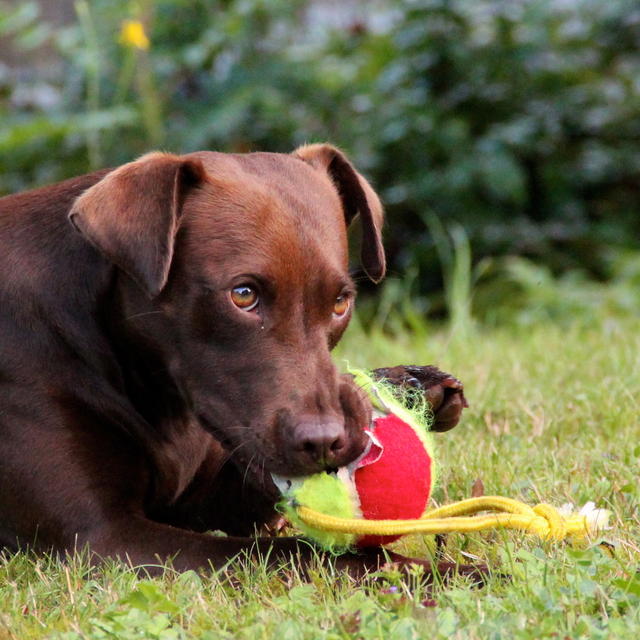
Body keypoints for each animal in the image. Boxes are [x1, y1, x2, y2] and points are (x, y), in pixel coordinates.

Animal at [0, 145, 470, 576]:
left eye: (340, 302)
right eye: (243, 295)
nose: (324, 443)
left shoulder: (211, 494)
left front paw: (409, 386)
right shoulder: (104, 537)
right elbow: (305, 554)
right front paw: (457, 573)